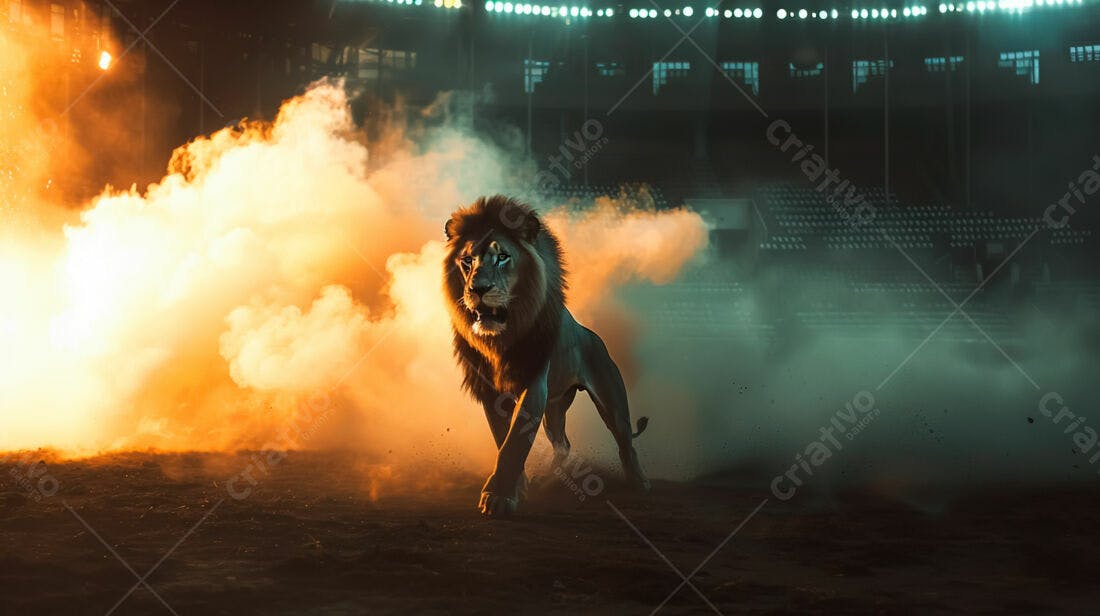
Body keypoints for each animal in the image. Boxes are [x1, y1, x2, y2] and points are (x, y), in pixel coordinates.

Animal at [443, 195, 650, 517]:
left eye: (502, 257)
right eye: (467, 261)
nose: (478, 289)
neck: (502, 339)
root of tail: (591, 334)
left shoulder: (533, 384)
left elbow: (514, 443)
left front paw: (499, 497)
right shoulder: (491, 393)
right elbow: (503, 440)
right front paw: (515, 488)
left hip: (611, 400)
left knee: (625, 442)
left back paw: (638, 484)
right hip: (554, 409)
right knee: (563, 444)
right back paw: (550, 479)